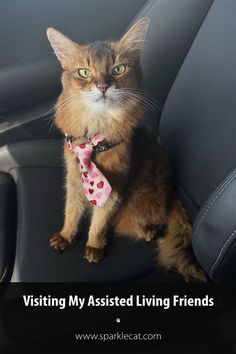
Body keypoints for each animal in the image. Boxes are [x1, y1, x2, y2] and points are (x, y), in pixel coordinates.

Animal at [47, 17, 206, 282]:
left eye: (118, 69)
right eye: (84, 72)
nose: (103, 86)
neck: (95, 132)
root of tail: (173, 193)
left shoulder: (115, 187)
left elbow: (100, 221)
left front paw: (94, 246)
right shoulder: (73, 177)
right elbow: (71, 209)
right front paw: (67, 235)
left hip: (136, 210)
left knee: (150, 223)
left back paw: (150, 231)